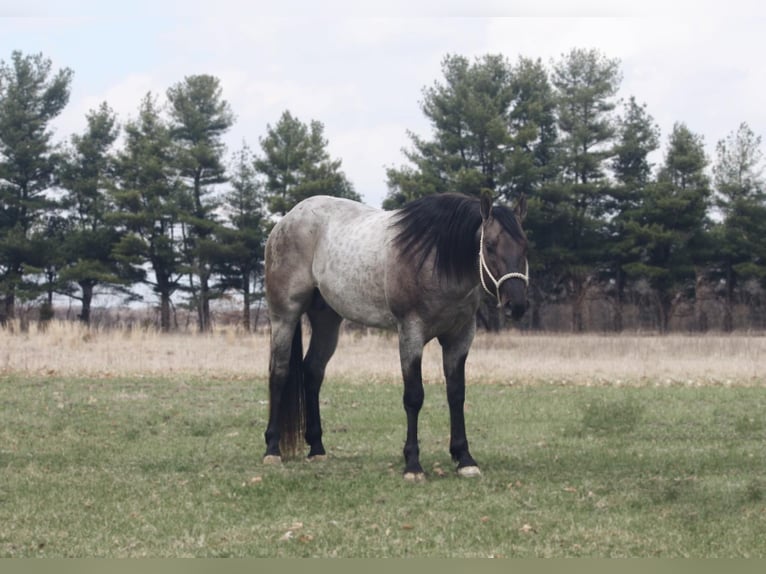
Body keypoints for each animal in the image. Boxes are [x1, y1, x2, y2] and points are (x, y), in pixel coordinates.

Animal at [262, 192, 528, 482]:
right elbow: (413, 396)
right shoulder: (411, 333)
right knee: (279, 373)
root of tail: (286, 220)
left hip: (327, 320)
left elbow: (456, 394)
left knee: (312, 372)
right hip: (284, 316)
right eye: (489, 246)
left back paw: (317, 448)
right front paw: (413, 464)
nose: (517, 305)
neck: (435, 259)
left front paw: (465, 458)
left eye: (524, 245)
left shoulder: (460, 336)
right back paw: (272, 449)